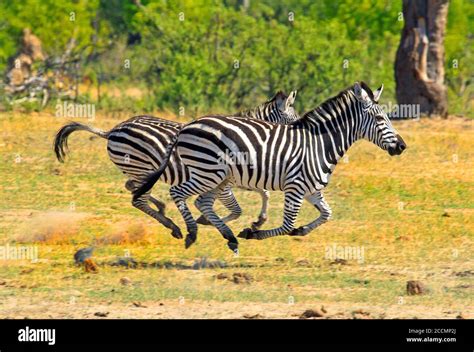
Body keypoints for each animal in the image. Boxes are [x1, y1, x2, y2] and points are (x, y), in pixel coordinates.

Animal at [53, 90, 300, 242]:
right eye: (295, 120)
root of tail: (112, 130)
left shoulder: (242, 177)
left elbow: (265, 193)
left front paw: (258, 221)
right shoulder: (226, 180)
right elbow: (237, 209)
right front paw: (207, 220)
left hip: (138, 170)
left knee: (131, 187)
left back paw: (162, 208)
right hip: (142, 167)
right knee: (137, 197)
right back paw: (173, 226)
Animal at [133, 82, 408, 250]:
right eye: (380, 118)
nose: (402, 146)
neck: (320, 144)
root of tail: (188, 125)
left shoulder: (312, 190)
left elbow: (326, 214)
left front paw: (301, 230)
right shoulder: (296, 188)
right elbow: (286, 224)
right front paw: (253, 232)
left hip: (217, 177)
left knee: (202, 203)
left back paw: (228, 237)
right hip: (208, 173)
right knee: (178, 193)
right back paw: (190, 232)